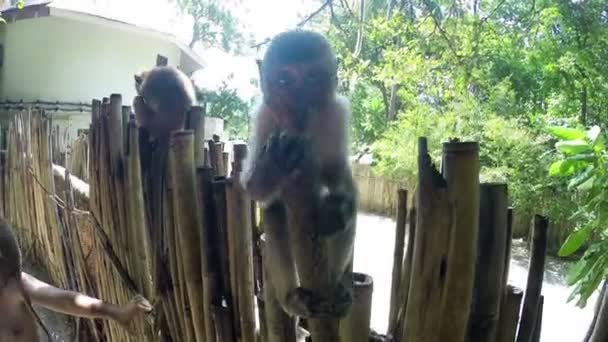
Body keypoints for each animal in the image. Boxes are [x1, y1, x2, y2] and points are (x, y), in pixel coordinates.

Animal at [241, 30, 358, 320]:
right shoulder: (264, 118)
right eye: (285, 80)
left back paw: (337, 289)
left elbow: (338, 173)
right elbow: (254, 190)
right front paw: (274, 165)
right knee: (275, 213)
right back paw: (292, 298)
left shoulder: (336, 114)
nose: (299, 103)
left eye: (312, 77)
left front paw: (336, 210)